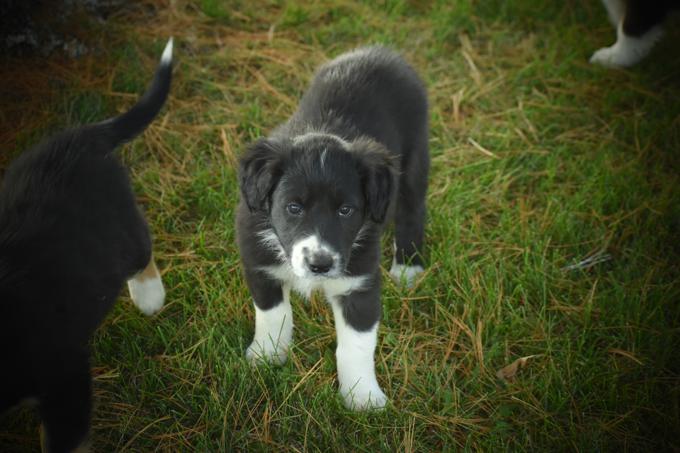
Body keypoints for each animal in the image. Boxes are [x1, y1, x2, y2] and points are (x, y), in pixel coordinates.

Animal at [236, 46, 428, 410]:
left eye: (345, 210)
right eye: (293, 207)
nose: (320, 265)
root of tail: (381, 51)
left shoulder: (359, 283)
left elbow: (357, 344)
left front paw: (362, 398)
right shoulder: (259, 262)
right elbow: (272, 314)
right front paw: (267, 356)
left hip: (415, 158)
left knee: (412, 212)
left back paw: (408, 268)